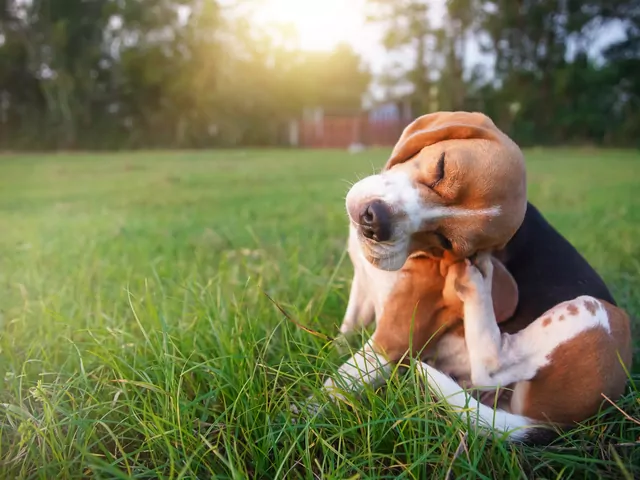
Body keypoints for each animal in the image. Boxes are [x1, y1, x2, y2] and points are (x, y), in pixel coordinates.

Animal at [298, 110, 632, 444]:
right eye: (441, 168)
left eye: (446, 241)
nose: (375, 222)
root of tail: (555, 424)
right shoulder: (363, 287)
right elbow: (347, 331)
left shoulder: (392, 340)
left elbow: (333, 387)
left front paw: (296, 419)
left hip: (595, 313)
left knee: (493, 366)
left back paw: (475, 283)